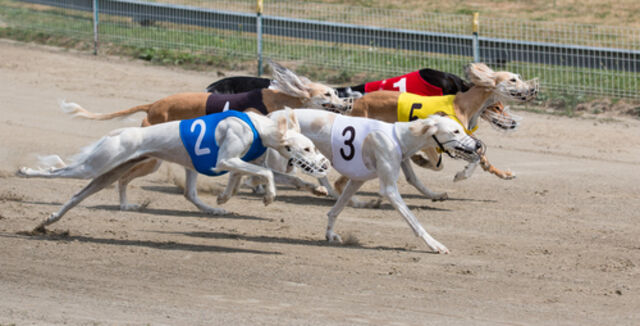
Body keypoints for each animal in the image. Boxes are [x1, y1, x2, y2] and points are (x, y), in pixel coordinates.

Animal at [18, 107, 330, 232]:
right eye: (307, 149)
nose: (325, 164)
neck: (257, 126)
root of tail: (121, 132)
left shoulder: (239, 163)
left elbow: (282, 176)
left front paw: (316, 188)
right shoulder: (224, 161)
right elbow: (265, 174)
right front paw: (269, 196)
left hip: (110, 173)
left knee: (75, 197)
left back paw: (48, 221)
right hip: (97, 165)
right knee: (58, 172)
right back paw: (25, 172)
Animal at [268, 109, 482, 255]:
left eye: (462, 129)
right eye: (455, 131)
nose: (479, 145)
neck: (400, 137)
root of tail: (271, 115)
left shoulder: (357, 180)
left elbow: (336, 210)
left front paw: (330, 233)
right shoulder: (389, 190)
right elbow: (414, 221)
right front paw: (435, 244)